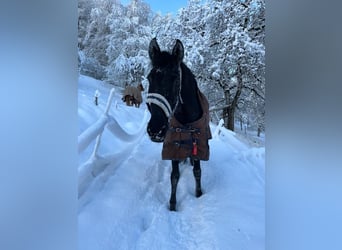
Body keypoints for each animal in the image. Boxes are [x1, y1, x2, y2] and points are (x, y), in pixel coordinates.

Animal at [145, 38, 210, 211]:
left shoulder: (199, 143)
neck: (186, 120)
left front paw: (199, 194)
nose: (155, 129)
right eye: (149, 78)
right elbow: (174, 176)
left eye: (175, 77)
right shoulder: (174, 144)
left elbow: (197, 171)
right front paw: (172, 205)